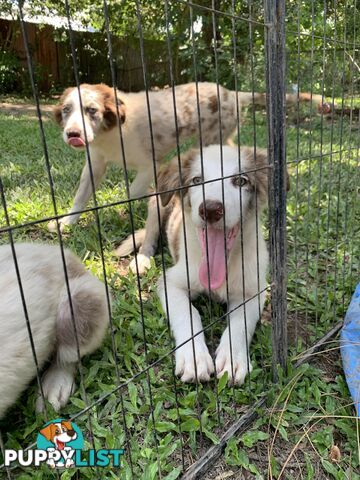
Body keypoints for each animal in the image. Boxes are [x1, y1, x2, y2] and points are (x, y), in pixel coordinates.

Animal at [153, 144, 272, 384]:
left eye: (241, 181)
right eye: (197, 180)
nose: (210, 210)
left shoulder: (254, 290)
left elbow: (240, 322)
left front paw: (233, 357)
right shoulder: (170, 282)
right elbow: (188, 312)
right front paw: (194, 357)